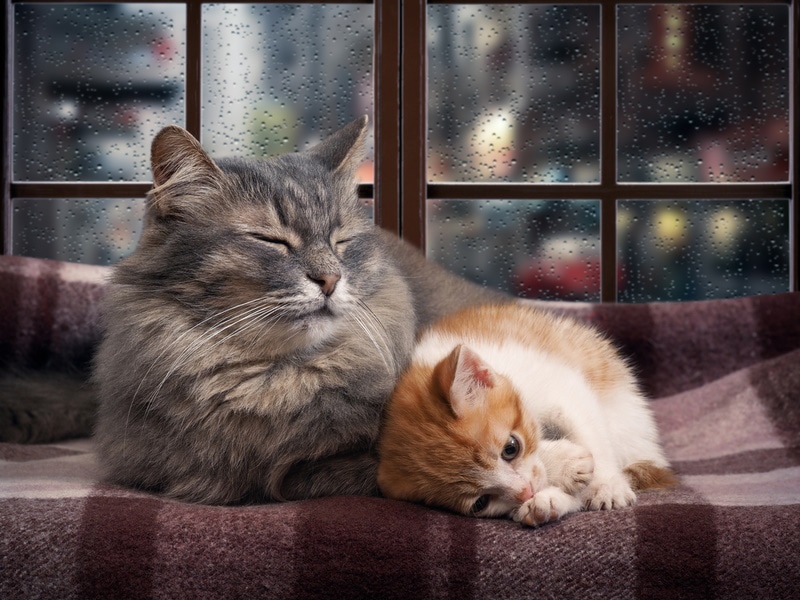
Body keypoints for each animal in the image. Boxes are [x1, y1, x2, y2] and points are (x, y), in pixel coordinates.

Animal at [376, 304, 676, 524]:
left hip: (625, 414)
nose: (526, 492)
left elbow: (590, 431)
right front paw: (557, 478)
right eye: (481, 502)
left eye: (511, 448)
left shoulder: (564, 386)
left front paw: (606, 485)